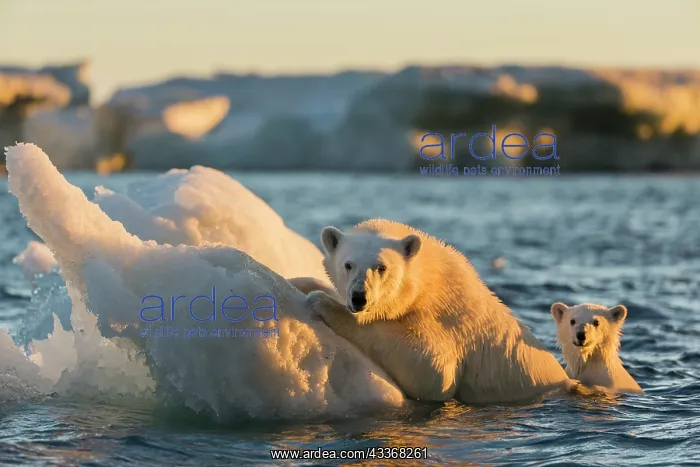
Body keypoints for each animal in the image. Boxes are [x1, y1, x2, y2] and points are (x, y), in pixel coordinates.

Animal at [306, 218, 577, 405]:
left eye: (381, 267)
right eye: (348, 265)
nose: (359, 298)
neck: (429, 283)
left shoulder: (447, 323)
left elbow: (434, 370)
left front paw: (323, 302)